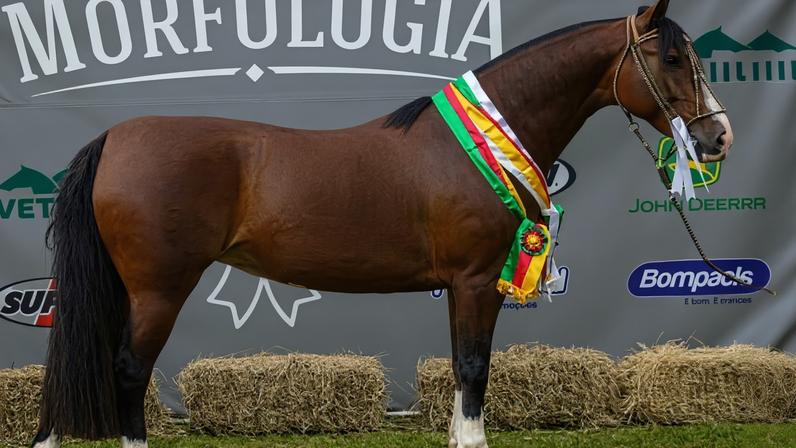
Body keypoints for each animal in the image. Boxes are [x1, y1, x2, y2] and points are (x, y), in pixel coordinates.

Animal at [33, 1, 732, 447]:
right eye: (673, 59)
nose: (718, 137)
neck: (479, 141)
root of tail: (115, 138)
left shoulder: (459, 286)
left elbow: (459, 367)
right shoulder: (477, 280)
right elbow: (473, 369)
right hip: (158, 287)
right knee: (128, 370)